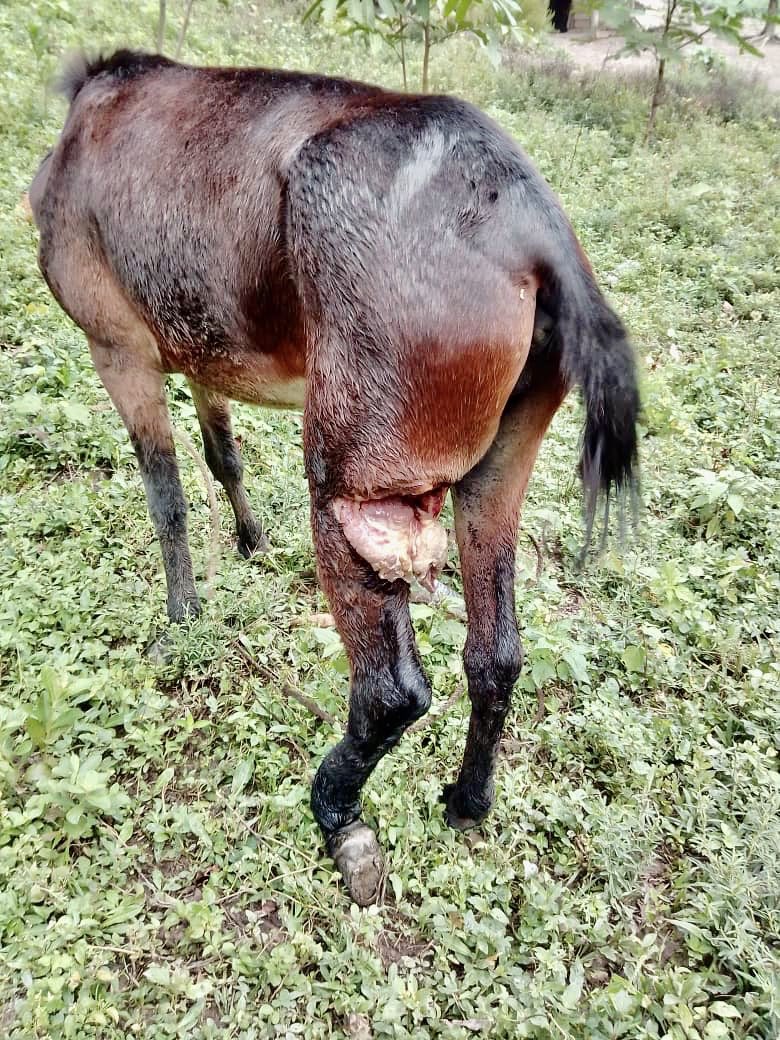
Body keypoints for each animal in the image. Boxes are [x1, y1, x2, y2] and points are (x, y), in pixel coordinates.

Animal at [30, 51, 639, 904]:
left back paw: (338, 812)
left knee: (389, 689)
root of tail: (533, 232)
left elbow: (166, 493)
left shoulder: (117, 346)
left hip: (358, 481)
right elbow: (220, 452)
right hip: (500, 463)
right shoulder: (201, 349)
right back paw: (468, 800)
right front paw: (249, 538)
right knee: (496, 653)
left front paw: (182, 617)